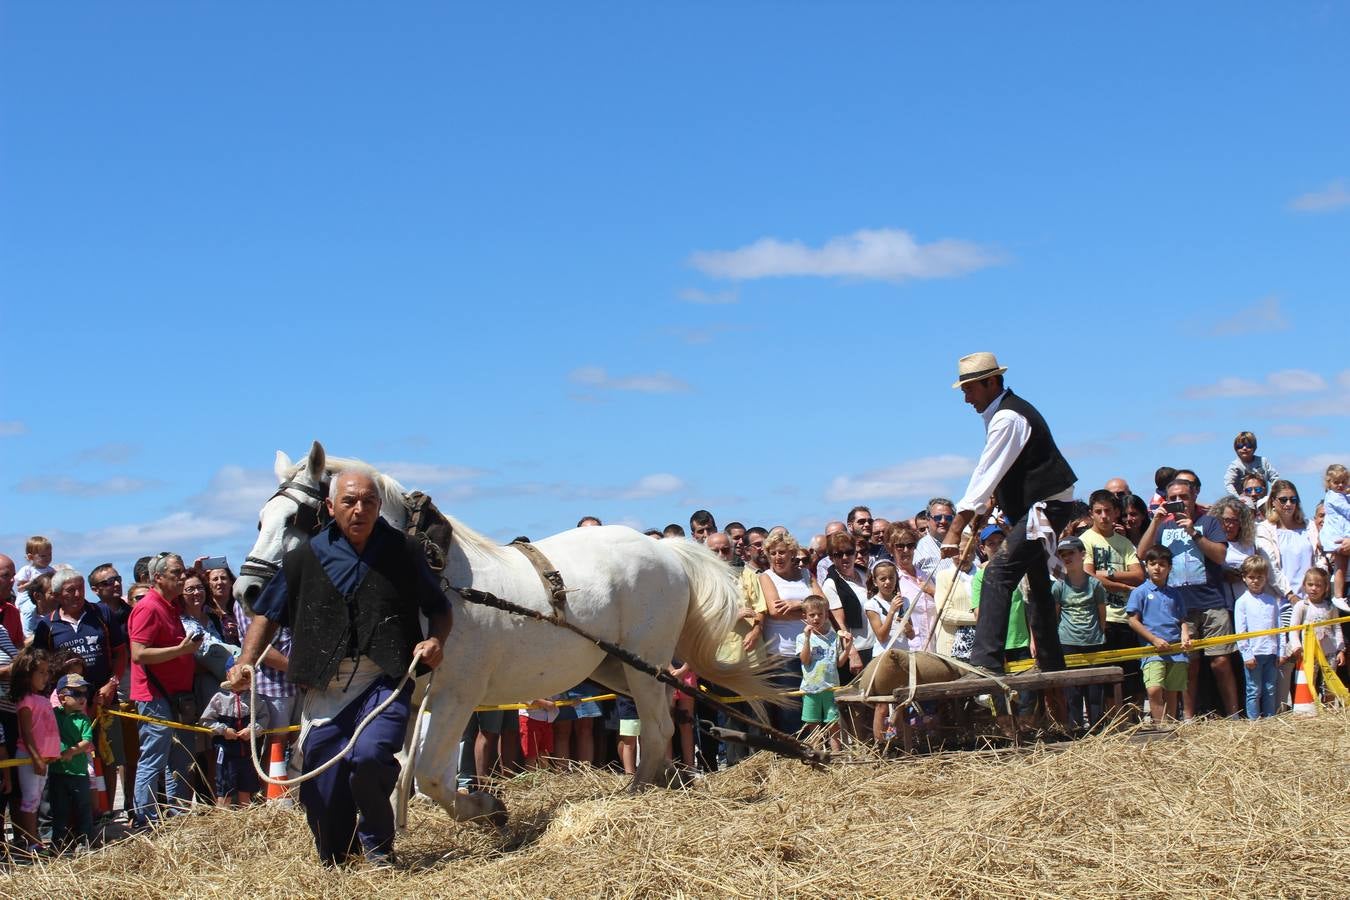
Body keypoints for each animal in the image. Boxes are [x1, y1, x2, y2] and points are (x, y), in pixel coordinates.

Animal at [237, 439, 777, 825]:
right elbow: (400, 770)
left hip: (643, 660)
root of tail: (666, 552)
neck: (437, 575)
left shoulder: (455, 693)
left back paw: (639, 791)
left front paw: (487, 810)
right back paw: (664, 779)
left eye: (298, 518)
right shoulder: (412, 693)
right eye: (260, 519)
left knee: (659, 724)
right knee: (661, 719)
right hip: (614, 665)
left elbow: (429, 775)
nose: (248, 591)